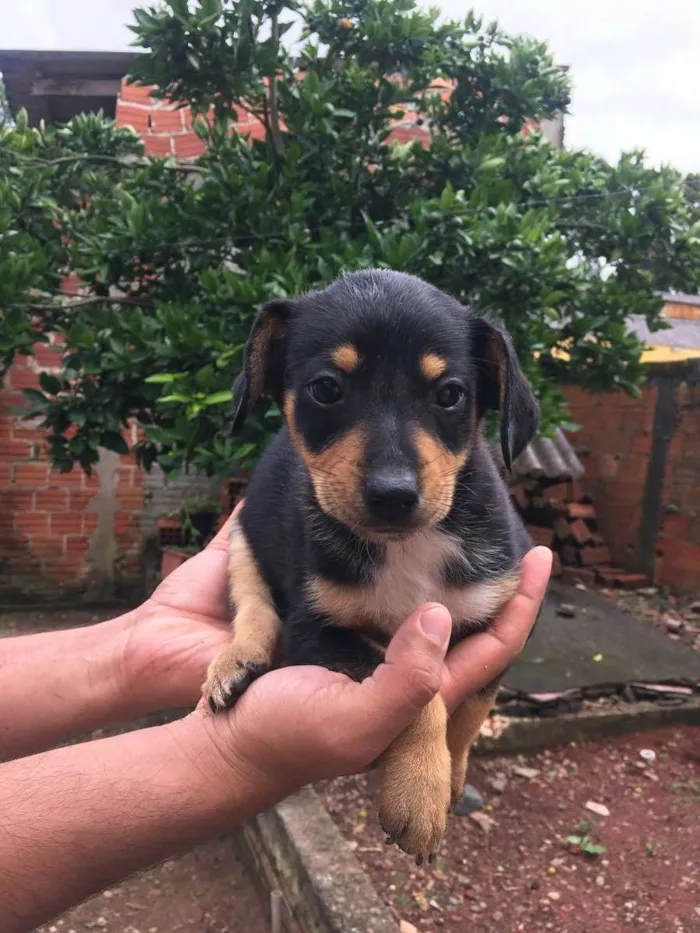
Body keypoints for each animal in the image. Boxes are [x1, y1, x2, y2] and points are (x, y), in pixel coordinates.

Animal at [200, 266, 540, 864]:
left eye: (450, 395)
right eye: (326, 389)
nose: (392, 495)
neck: (407, 545)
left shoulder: (497, 616)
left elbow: (472, 709)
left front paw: (449, 778)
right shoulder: (319, 630)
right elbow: (414, 685)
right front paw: (419, 793)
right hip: (242, 540)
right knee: (254, 610)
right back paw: (235, 663)